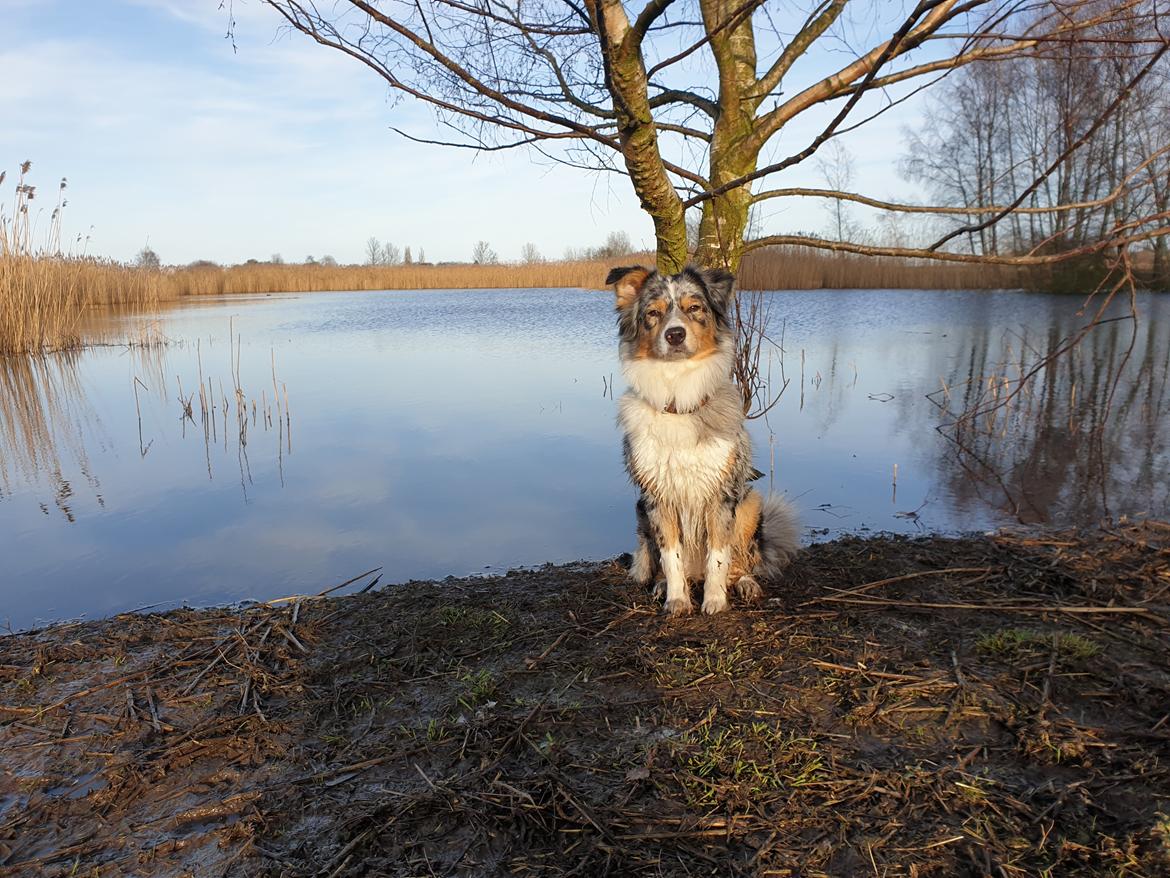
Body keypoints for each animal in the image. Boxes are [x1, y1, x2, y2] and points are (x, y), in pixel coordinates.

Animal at [608, 266, 800, 618]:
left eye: (694, 308)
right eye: (653, 313)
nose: (675, 334)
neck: (678, 398)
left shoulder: (720, 494)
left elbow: (719, 556)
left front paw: (714, 601)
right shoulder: (658, 496)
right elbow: (670, 556)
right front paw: (677, 600)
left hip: (750, 502)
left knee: (741, 560)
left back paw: (744, 583)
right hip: (641, 511)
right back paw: (661, 585)